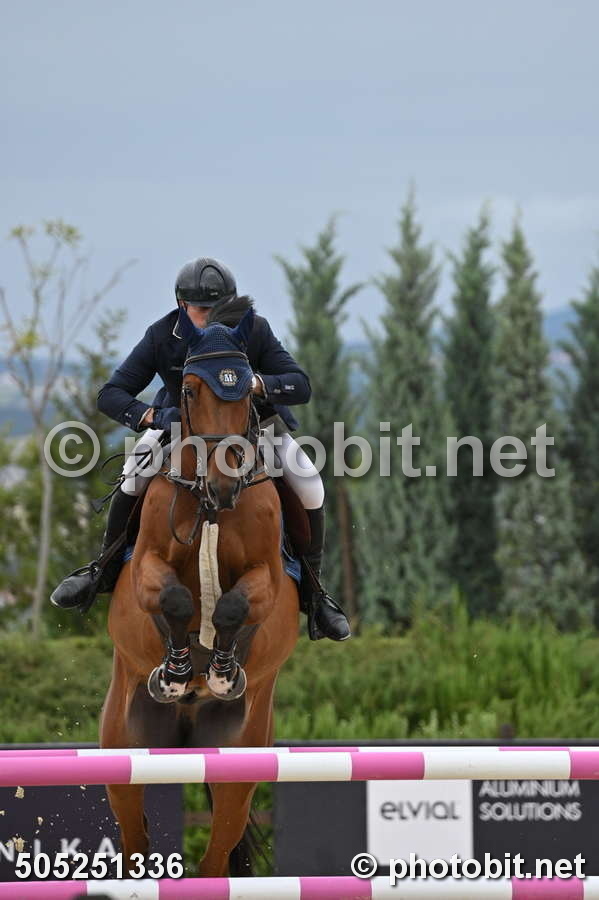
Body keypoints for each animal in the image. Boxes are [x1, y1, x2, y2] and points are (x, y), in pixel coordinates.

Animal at [99, 304, 300, 876]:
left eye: (247, 390)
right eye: (188, 391)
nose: (224, 484)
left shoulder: (267, 577)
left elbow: (232, 605)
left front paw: (221, 670)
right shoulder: (146, 566)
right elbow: (175, 598)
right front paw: (177, 671)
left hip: (239, 755)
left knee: (216, 857)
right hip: (126, 747)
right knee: (134, 840)